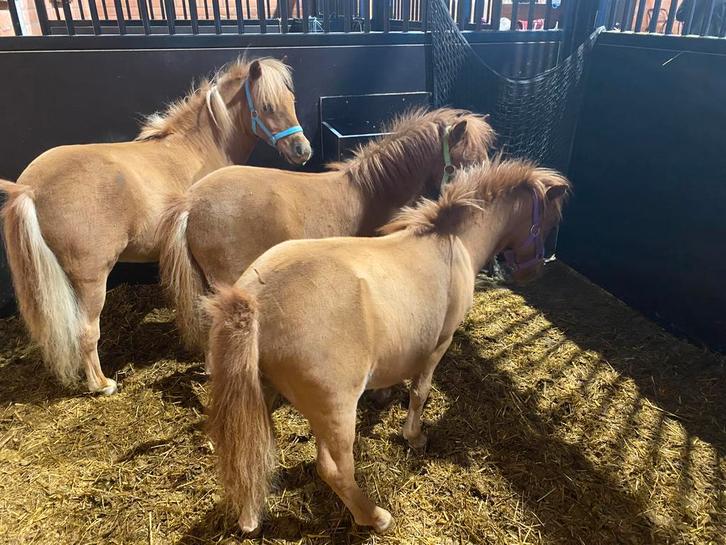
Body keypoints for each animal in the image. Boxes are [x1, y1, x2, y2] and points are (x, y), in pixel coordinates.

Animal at [0, 57, 311, 396]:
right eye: (267, 106)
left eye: (291, 100)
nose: (302, 150)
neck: (199, 148)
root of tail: (29, 188)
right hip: (91, 277)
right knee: (86, 330)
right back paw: (102, 384)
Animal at [203, 158, 570, 533]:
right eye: (548, 222)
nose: (533, 272)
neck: (452, 243)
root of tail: (254, 300)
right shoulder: (439, 345)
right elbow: (420, 392)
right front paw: (414, 436)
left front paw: (383, 396)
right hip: (336, 410)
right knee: (334, 469)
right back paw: (375, 516)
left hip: (261, 393)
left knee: (251, 450)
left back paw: (250, 516)